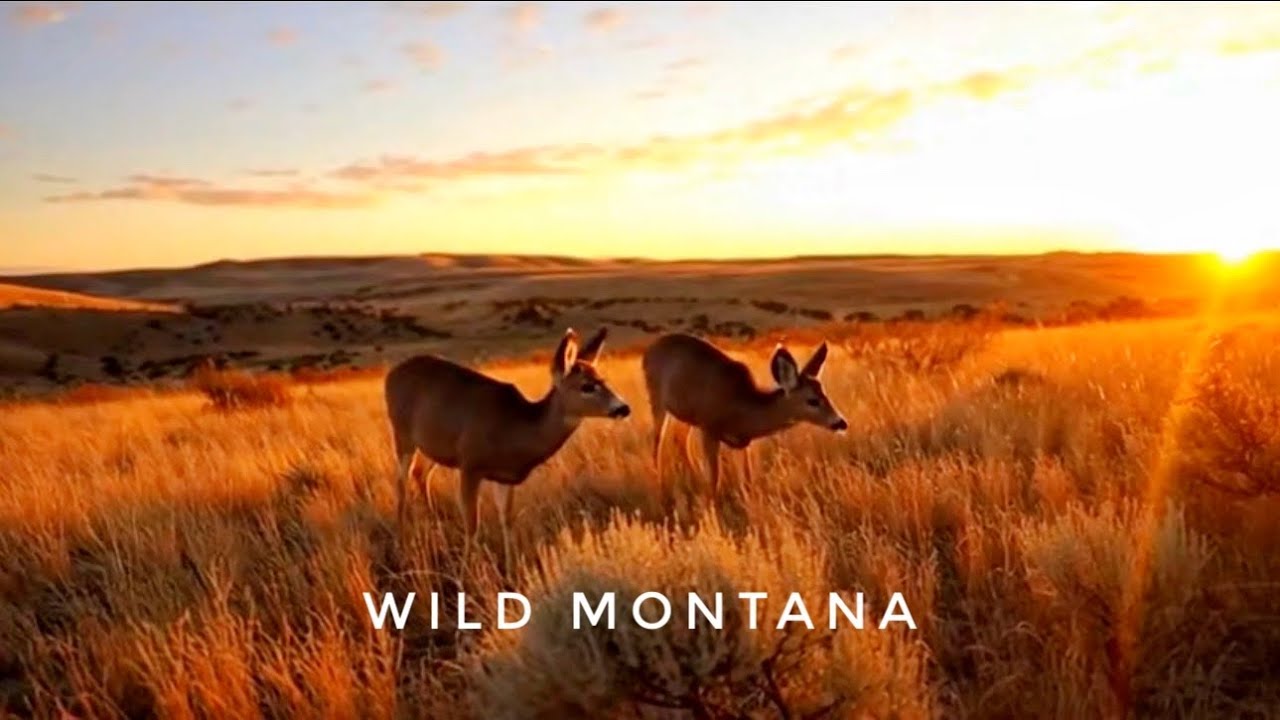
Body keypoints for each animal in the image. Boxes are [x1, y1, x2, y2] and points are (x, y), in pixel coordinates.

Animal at [384, 327, 630, 568]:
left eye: (604, 380)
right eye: (587, 386)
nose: (623, 408)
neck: (513, 430)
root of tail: (391, 374)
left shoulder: (504, 477)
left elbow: (507, 520)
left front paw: (511, 569)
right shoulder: (470, 464)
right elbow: (472, 523)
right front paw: (467, 570)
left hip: (434, 446)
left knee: (420, 474)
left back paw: (437, 528)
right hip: (402, 434)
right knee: (401, 482)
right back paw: (401, 542)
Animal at [642, 332, 847, 498]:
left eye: (825, 394)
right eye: (812, 400)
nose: (841, 423)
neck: (742, 409)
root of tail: (650, 348)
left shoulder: (743, 442)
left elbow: (748, 476)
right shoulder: (709, 428)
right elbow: (716, 479)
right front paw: (712, 507)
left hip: (687, 415)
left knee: (680, 440)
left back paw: (695, 476)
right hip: (656, 397)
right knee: (658, 441)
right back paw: (659, 482)